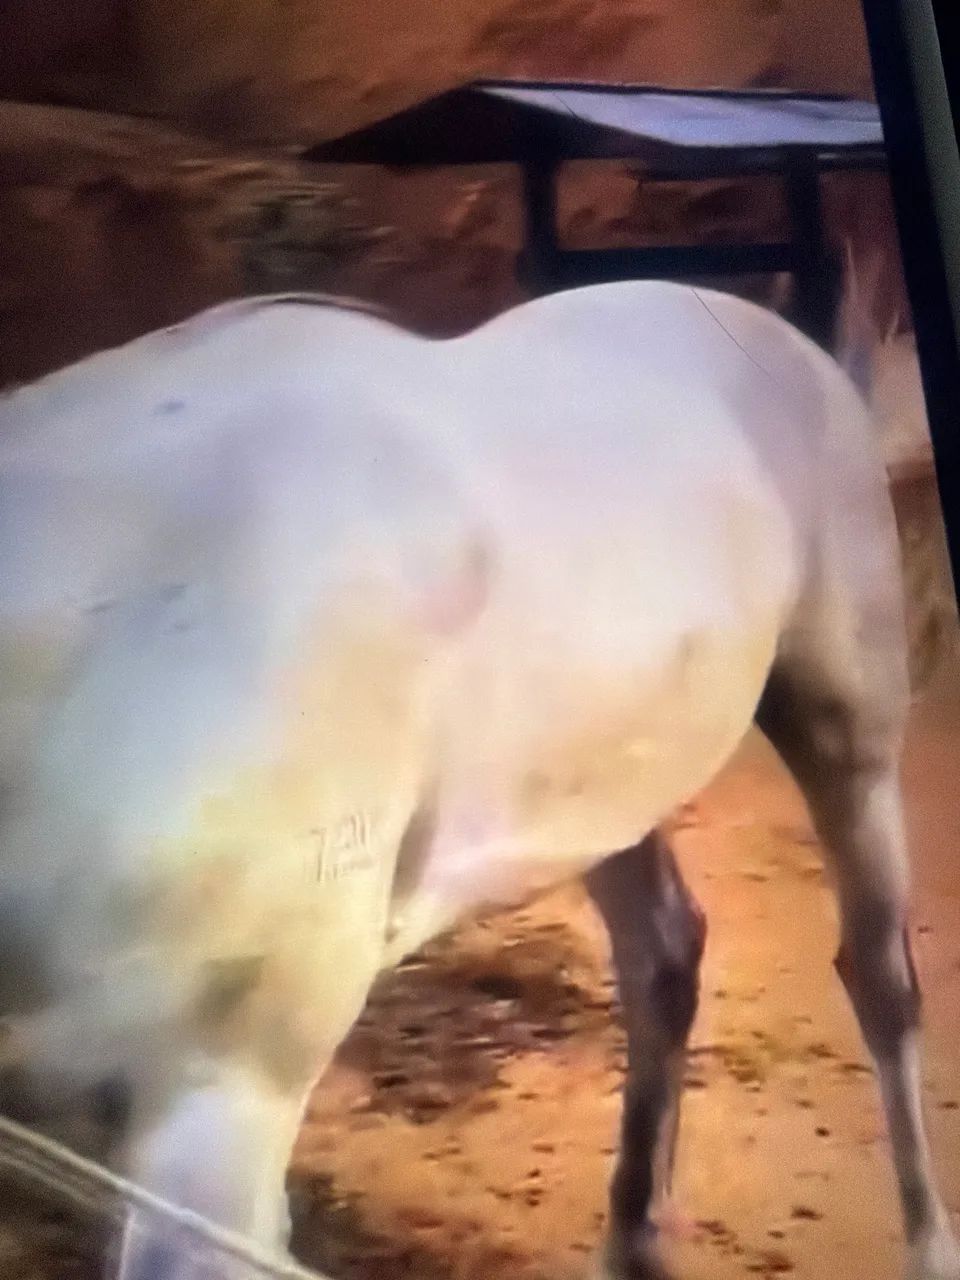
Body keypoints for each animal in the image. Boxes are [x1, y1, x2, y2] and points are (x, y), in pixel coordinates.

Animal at [1, 279, 957, 1280]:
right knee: (664, 956)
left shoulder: (217, 1104)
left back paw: (929, 1242)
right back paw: (634, 1237)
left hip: (846, 732)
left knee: (881, 983)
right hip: (605, 796)